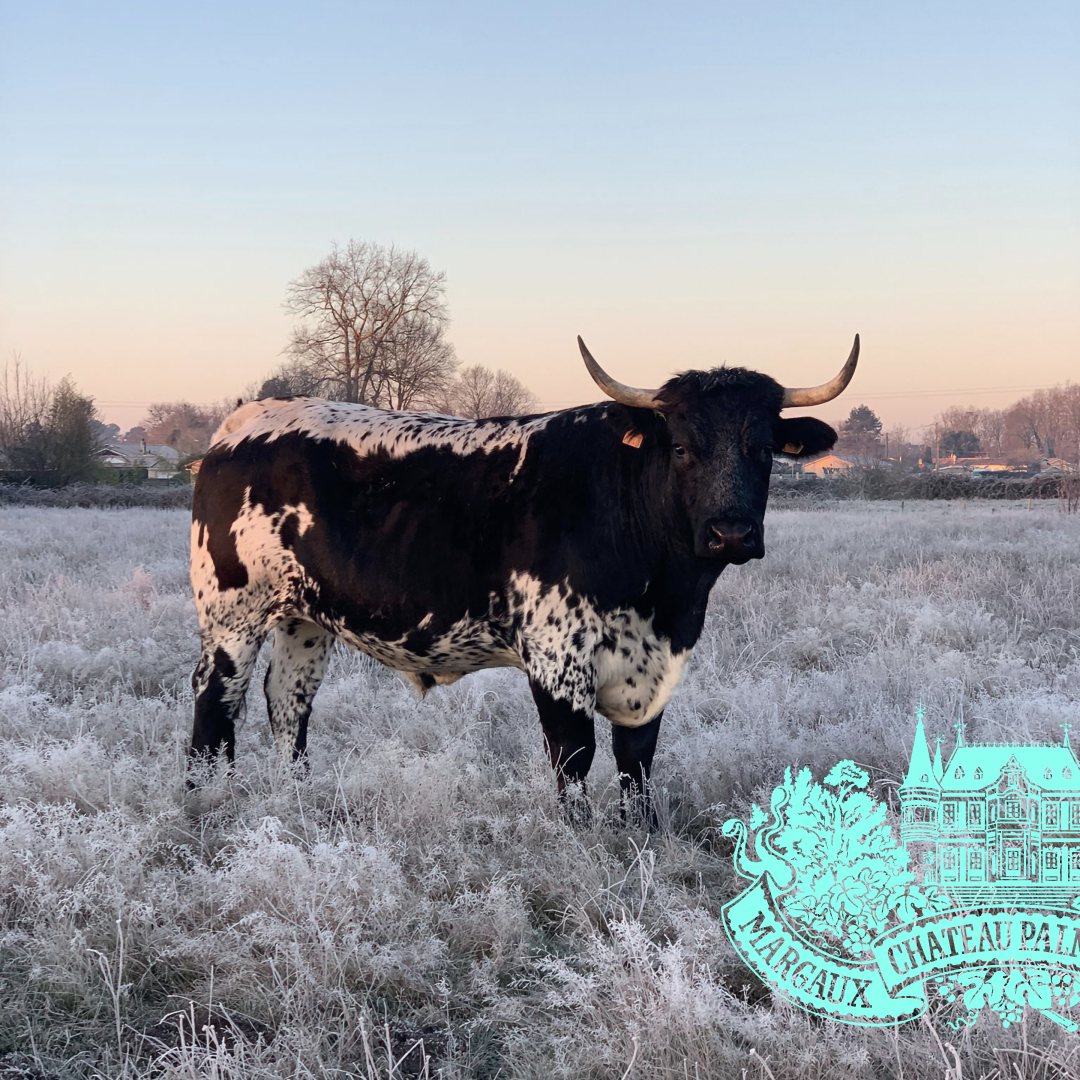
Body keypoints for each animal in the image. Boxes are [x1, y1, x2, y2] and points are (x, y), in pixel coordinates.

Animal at [189, 335, 859, 820]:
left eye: (763, 449)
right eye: (681, 448)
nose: (731, 534)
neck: (668, 598)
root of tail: (241, 424)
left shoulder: (652, 668)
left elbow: (637, 762)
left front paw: (641, 838)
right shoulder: (557, 657)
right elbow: (574, 758)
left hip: (304, 618)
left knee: (288, 701)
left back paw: (297, 801)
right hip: (232, 616)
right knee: (216, 703)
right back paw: (208, 802)